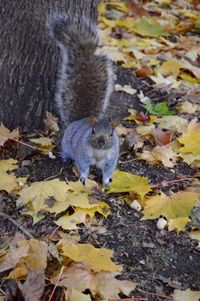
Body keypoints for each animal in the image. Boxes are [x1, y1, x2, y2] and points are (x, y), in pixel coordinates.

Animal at [47, 12, 119, 185]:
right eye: (92, 131)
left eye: (111, 134)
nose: (101, 142)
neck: (99, 151)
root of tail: (82, 119)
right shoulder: (82, 154)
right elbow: (84, 166)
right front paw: (83, 177)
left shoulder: (111, 158)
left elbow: (108, 171)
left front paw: (106, 182)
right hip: (67, 143)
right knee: (66, 151)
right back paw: (66, 158)